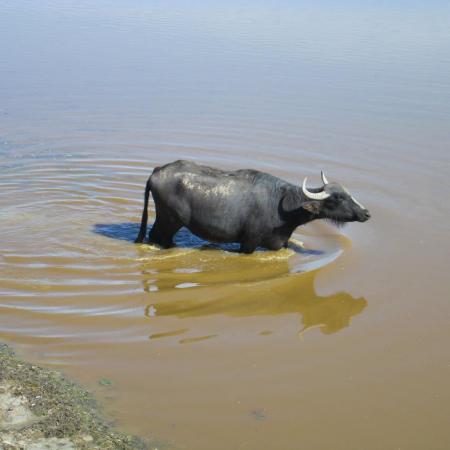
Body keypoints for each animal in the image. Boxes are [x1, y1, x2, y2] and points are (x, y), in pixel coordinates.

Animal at [134, 160, 370, 253]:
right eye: (338, 199)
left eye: (348, 194)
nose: (366, 212)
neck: (283, 205)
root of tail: (156, 172)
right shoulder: (248, 243)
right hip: (169, 221)